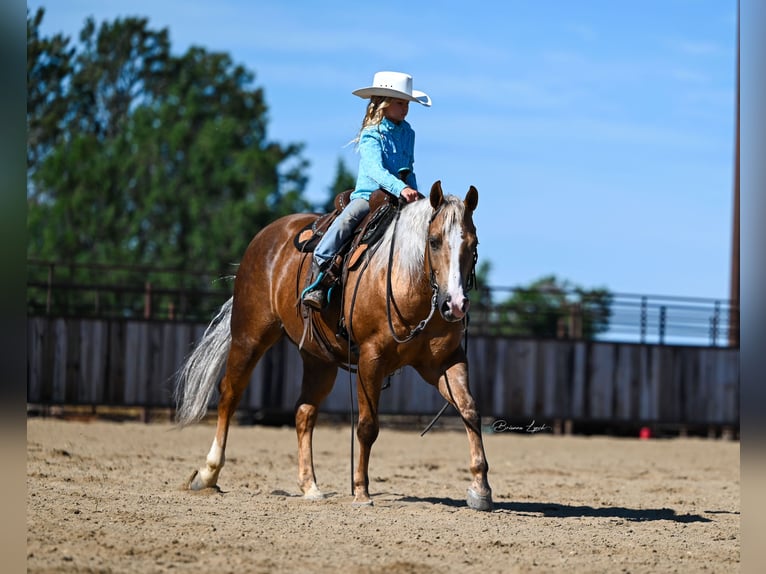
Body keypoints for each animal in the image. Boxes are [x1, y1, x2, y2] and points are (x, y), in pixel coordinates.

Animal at [174, 181, 496, 512]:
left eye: (473, 244)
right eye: (433, 241)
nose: (454, 304)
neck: (403, 280)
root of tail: (265, 237)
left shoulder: (445, 361)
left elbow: (470, 410)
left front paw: (480, 489)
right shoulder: (371, 358)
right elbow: (367, 426)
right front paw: (361, 492)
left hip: (319, 359)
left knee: (304, 412)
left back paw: (310, 486)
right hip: (250, 335)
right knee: (229, 394)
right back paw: (208, 473)